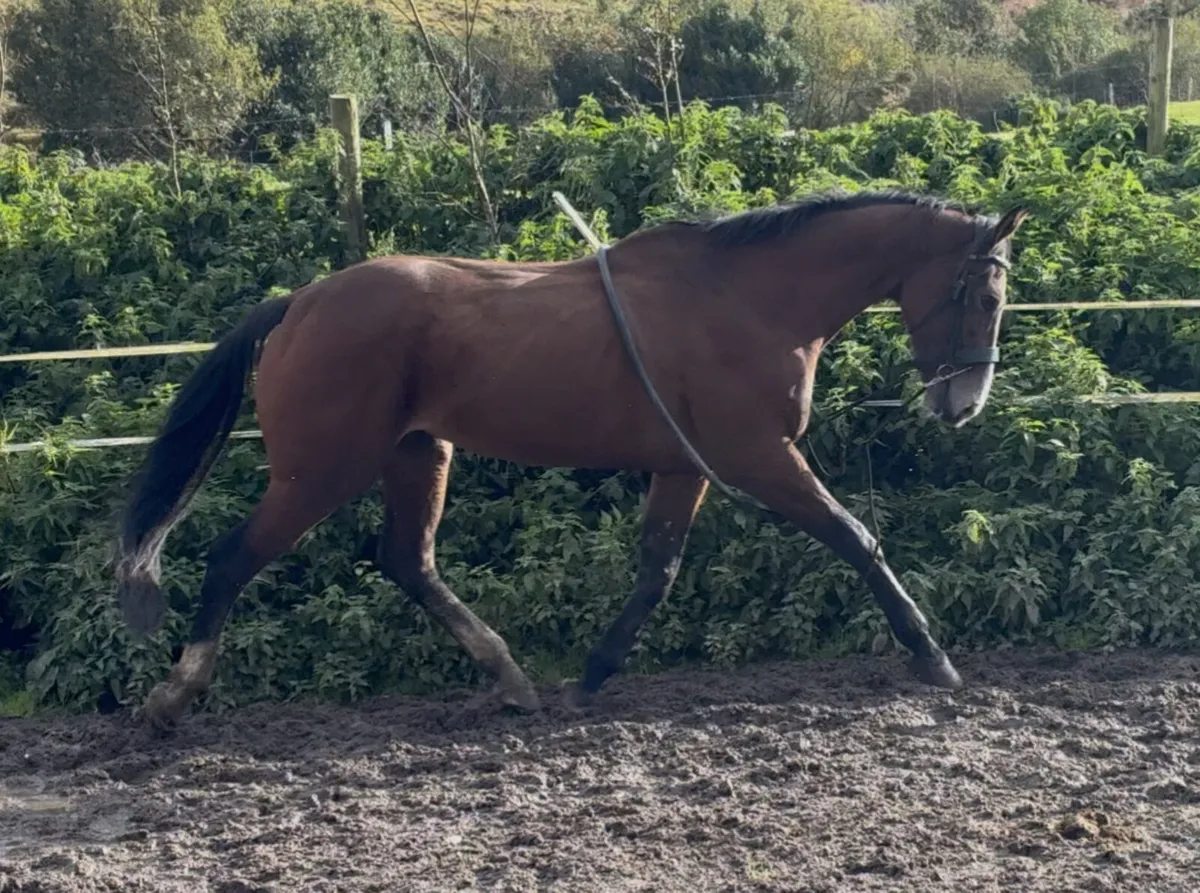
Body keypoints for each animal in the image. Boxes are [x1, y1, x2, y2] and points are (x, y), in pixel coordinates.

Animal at [114, 189, 1029, 730]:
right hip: (323, 468)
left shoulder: (687, 466)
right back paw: (173, 695)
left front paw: (591, 675)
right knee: (235, 556)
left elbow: (657, 569)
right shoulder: (758, 455)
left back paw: (512, 678)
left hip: (417, 453)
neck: (751, 300)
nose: (963, 403)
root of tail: (301, 302)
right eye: (986, 293)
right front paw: (933, 656)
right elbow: (855, 539)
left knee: (407, 560)